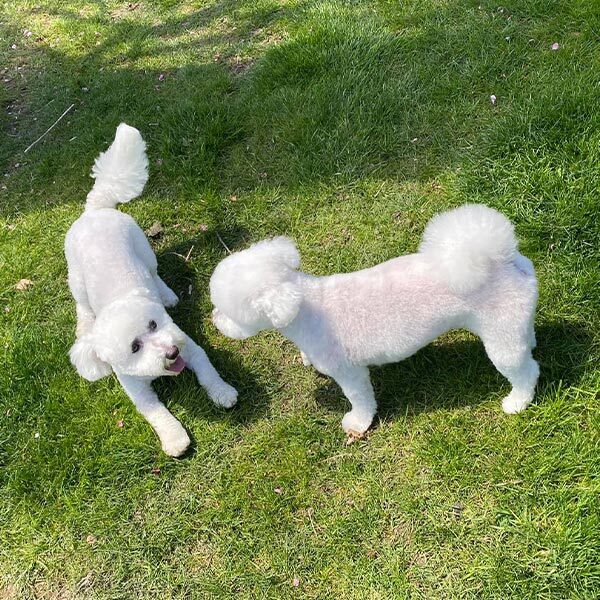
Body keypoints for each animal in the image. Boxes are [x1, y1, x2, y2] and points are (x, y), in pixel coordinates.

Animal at [63, 124, 237, 458]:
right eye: (134, 347)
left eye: (153, 324)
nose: (170, 351)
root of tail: (95, 209)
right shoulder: (136, 389)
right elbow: (156, 413)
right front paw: (174, 438)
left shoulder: (190, 347)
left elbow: (209, 373)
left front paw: (222, 392)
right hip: (75, 278)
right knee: (82, 305)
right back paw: (84, 324)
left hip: (143, 249)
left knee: (155, 272)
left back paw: (166, 294)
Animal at [211, 205, 540, 436]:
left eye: (229, 313)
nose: (214, 319)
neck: (304, 305)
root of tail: (500, 260)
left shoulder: (349, 372)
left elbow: (360, 399)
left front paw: (357, 423)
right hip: (512, 323)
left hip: (500, 340)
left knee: (526, 371)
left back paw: (517, 402)